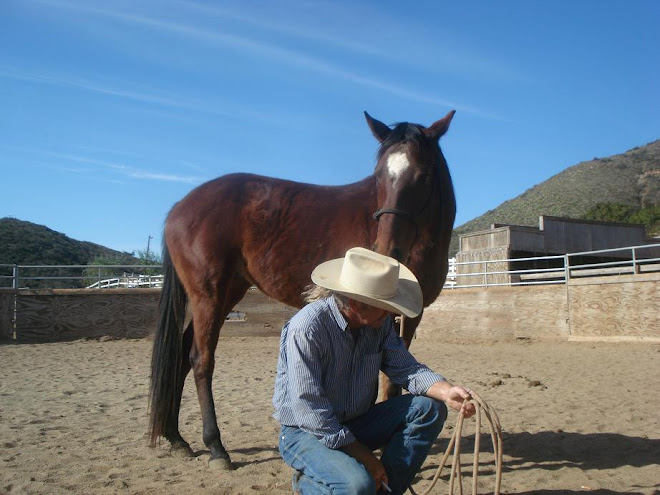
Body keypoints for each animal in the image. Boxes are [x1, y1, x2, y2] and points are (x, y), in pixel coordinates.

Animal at [148, 109, 458, 468]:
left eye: (423, 175)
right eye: (379, 176)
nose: (385, 250)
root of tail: (180, 207)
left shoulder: (410, 316)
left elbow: (394, 379)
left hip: (225, 295)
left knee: (182, 358)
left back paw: (176, 438)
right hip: (208, 296)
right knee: (201, 360)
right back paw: (216, 447)